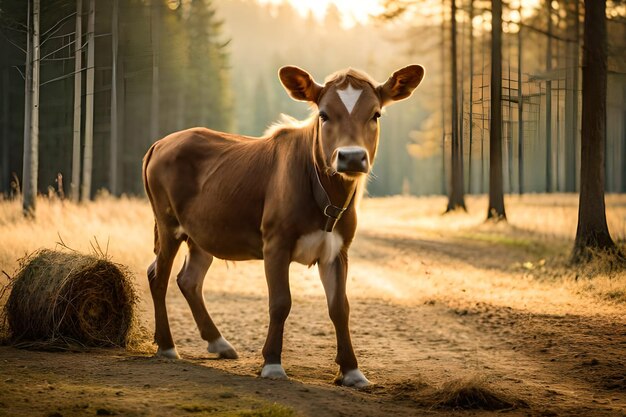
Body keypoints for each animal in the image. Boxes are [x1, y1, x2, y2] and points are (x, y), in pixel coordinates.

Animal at [144, 65, 422, 386]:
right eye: (323, 114)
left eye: (376, 114)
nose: (351, 157)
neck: (327, 197)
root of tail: (161, 142)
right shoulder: (276, 242)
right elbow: (280, 302)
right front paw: (273, 364)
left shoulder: (338, 249)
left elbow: (340, 307)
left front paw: (352, 371)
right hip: (167, 223)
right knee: (158, 276)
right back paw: (167, 346)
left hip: (203, 232)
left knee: (189, 280)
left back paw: (219, 343)